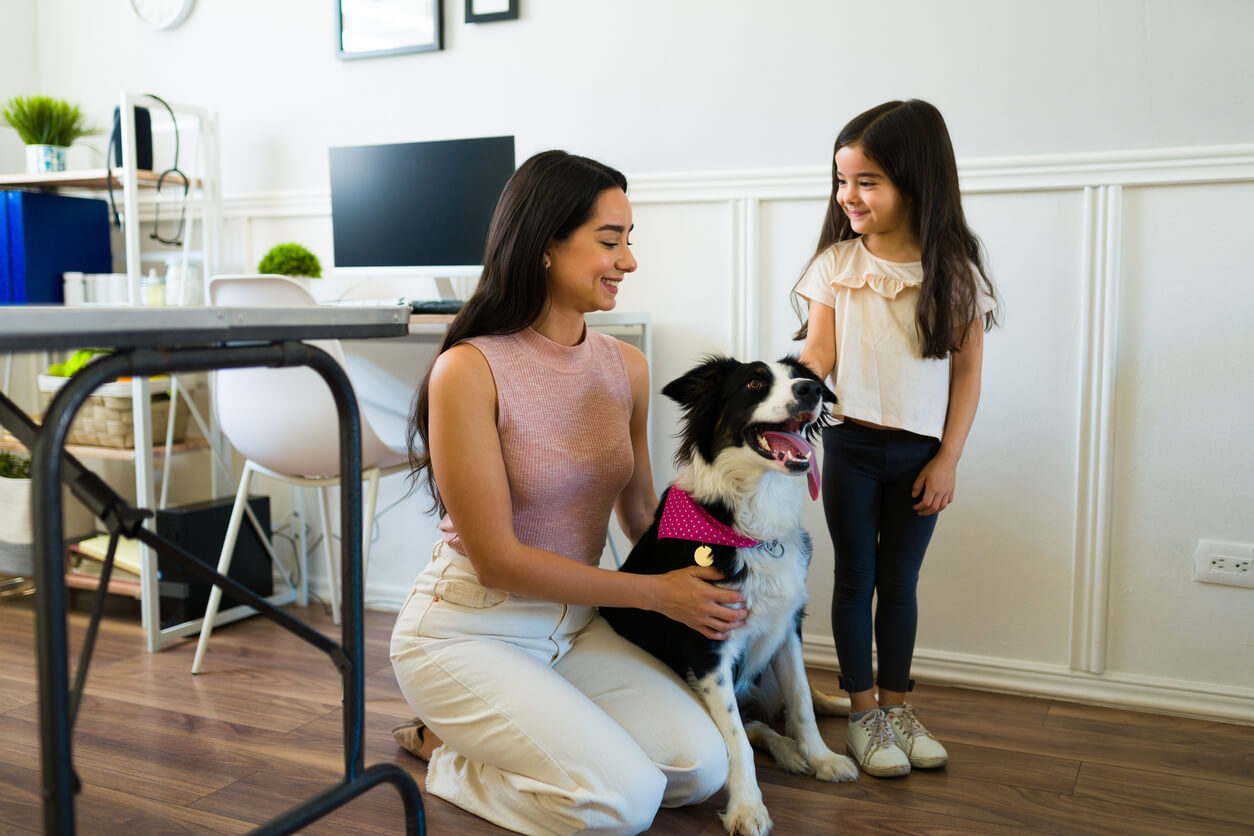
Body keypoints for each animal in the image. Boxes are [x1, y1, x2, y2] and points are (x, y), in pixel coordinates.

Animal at [601, 355, 857, 836]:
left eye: (802, 379)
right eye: (755, 383)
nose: (811, 390)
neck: (751, 525)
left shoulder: (787, 627)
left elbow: (801, 701)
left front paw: (822, 758)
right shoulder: (708, 648)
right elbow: (738, 739)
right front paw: (746, 807)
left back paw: (828, 712)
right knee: (751, 724)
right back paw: (785, 750)